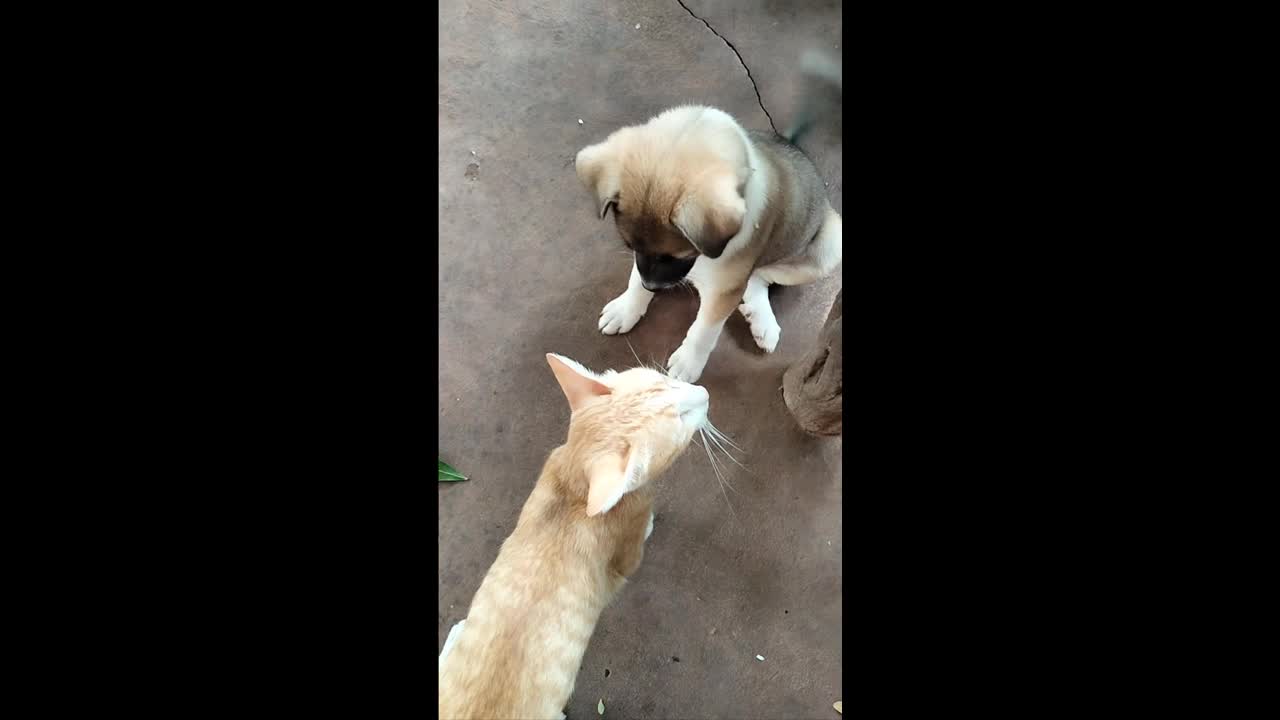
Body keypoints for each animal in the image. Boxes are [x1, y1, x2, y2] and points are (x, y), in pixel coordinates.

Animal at [435, 353, 706, 717]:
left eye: (667, 382)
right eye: (682, 418)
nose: (705, 393)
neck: (574, 486)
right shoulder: (629, 546)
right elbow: (635, 548)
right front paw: (650, 525)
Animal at [578, 63, 839, 381]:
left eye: (678, 255)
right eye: (629, 245)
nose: (653, 287)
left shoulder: (721, 290)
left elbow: (704, 330)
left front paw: (688, 362)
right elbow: (634, 278)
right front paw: (627, 307)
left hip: (828, 247)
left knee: (758, 276)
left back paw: (761, 318)